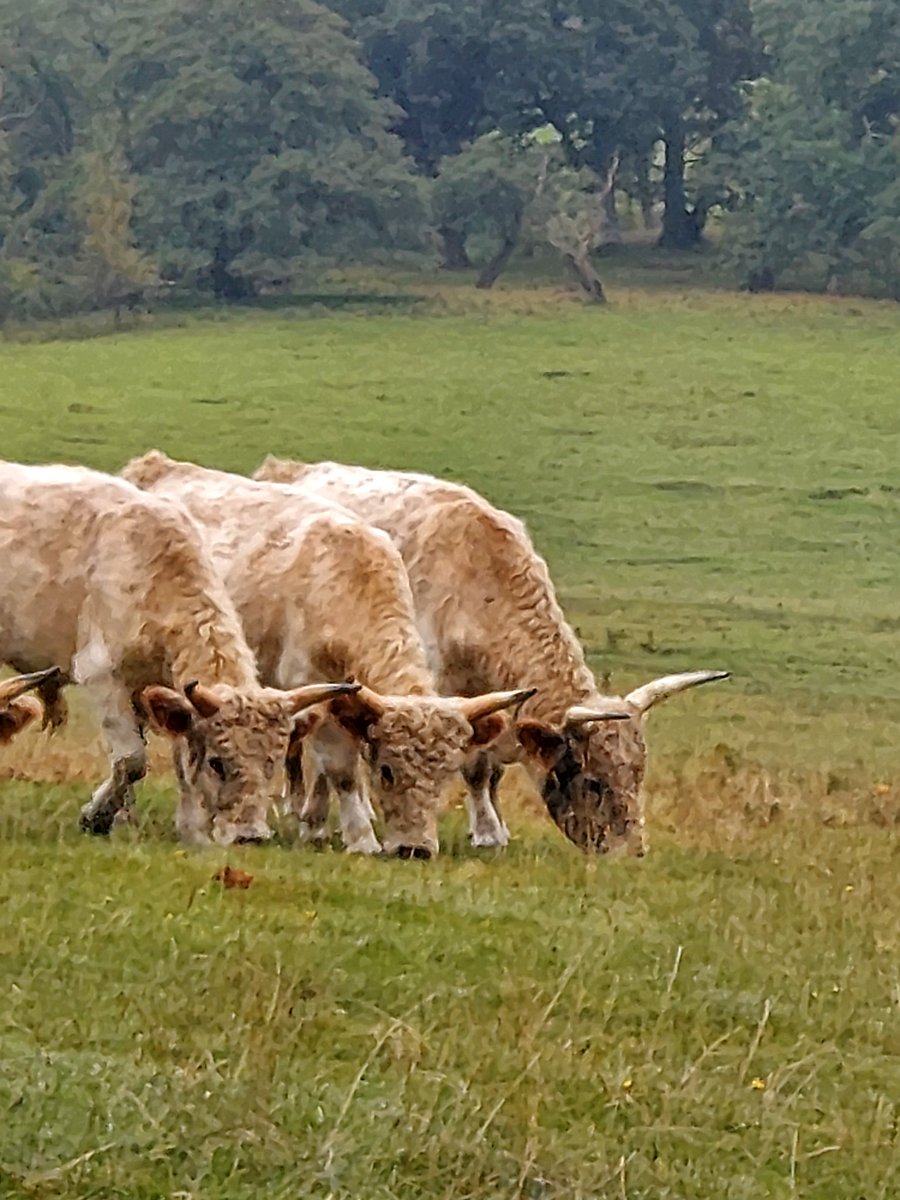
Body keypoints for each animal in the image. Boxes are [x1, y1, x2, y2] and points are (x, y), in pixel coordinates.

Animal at [0, 461, 356, 845]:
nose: (249, 836)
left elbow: (179, 762)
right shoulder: (103, 676)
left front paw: (187, 828)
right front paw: (98, 816)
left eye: (271, 764)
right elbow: (131, 760)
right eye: (217, 763)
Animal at [120, 451, 541, 859]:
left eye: (443, 775)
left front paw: (322, 825)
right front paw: (360, 836)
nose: (416, 849)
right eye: (386, 770)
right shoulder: (314, 686)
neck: (347, 584)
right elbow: (340, 770)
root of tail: (155, 465)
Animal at [253, 457, 729, 857]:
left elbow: (490, 771)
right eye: (594, 782)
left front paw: (493, 826)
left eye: (638, 774)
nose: (632, 853)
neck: (482, 585)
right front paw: (486, 831)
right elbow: (476, 769)